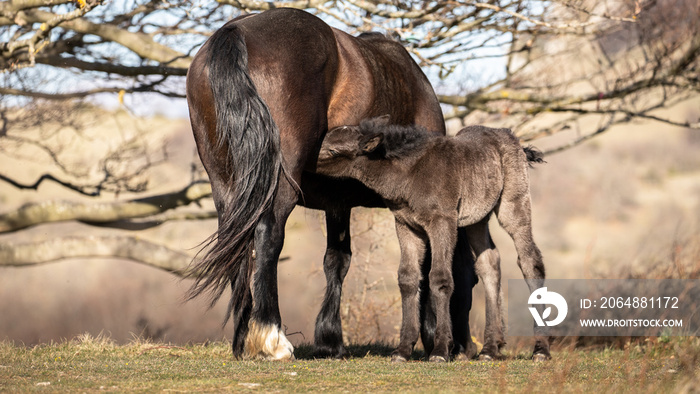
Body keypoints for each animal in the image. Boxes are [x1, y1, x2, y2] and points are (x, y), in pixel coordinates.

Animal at [186, 8, 478, 360]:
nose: (466, 346)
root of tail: (235, 32)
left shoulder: (337, 204)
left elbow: (337, 260)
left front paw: (330, 340)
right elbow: (424, 263)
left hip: (228, 185)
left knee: (237, 243)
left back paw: (243, 338)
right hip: (278, 184)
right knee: (268, 235)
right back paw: (271, 336)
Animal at [318, 118, 552, 362]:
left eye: (333, 150)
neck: (410, 173)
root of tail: (512, 138)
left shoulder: (442, 221)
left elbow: (440, 278)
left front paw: (440, 350)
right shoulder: (406, 225)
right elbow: (408, 278)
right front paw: (403, 350)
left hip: (513, 204)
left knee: (530, 261)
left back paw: (541, 349)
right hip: (476, 219)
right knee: (489, 263)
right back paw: (490, 349)